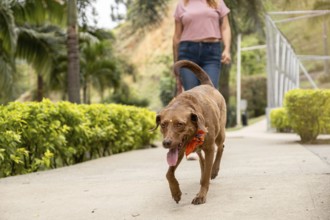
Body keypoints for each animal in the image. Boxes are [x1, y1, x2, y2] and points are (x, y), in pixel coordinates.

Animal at [153, 59, 226, 205]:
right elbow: (169, 173)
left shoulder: (210, 148)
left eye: (179, 124)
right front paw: (175, 192)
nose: (166, 143)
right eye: (163, 125)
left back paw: (214, 170)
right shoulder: (179, 151)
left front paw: (201, 195)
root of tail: (207, 85)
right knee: (202, 159)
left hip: (220, 133)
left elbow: (206, 176)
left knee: (221, 147)